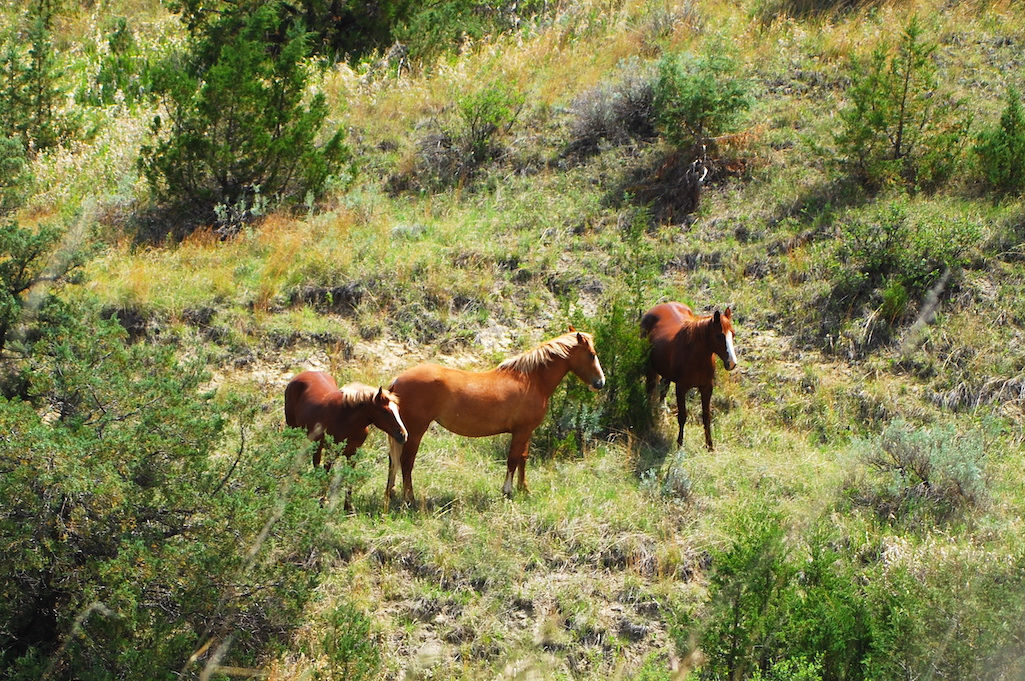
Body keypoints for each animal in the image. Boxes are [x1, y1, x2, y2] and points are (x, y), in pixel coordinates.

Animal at [284, 371, 408, 508]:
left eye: (397, 409)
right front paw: (323, 501)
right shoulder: (332, 452)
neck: (346, 419)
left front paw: (348, 507)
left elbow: (349, 477)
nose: (403, 435)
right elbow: (327, 472)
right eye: (385, 412)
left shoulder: (352, 453)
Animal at [384, 328, 606, 507]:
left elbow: (523, 458)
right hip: (415, 431)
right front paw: (507, 491)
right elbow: (513, 460)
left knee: (394, 461)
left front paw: (524, 489)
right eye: (591, 355)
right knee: (406, 462)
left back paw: (391, 494)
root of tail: (397, 381)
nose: (600, 382)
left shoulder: (526, 432)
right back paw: (409, 498)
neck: (531, 380)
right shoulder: (521, 431)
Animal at [640, 302, 738, 450]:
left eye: (733, 334)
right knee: (650, 393)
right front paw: (679, 444)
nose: (731, 363)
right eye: (719, 336)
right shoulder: (681, 388)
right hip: (651, 370)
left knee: (662, 392)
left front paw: (710, 446)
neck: (695, 355)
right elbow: (682, 416)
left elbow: (706, 416)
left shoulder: (707, 387)